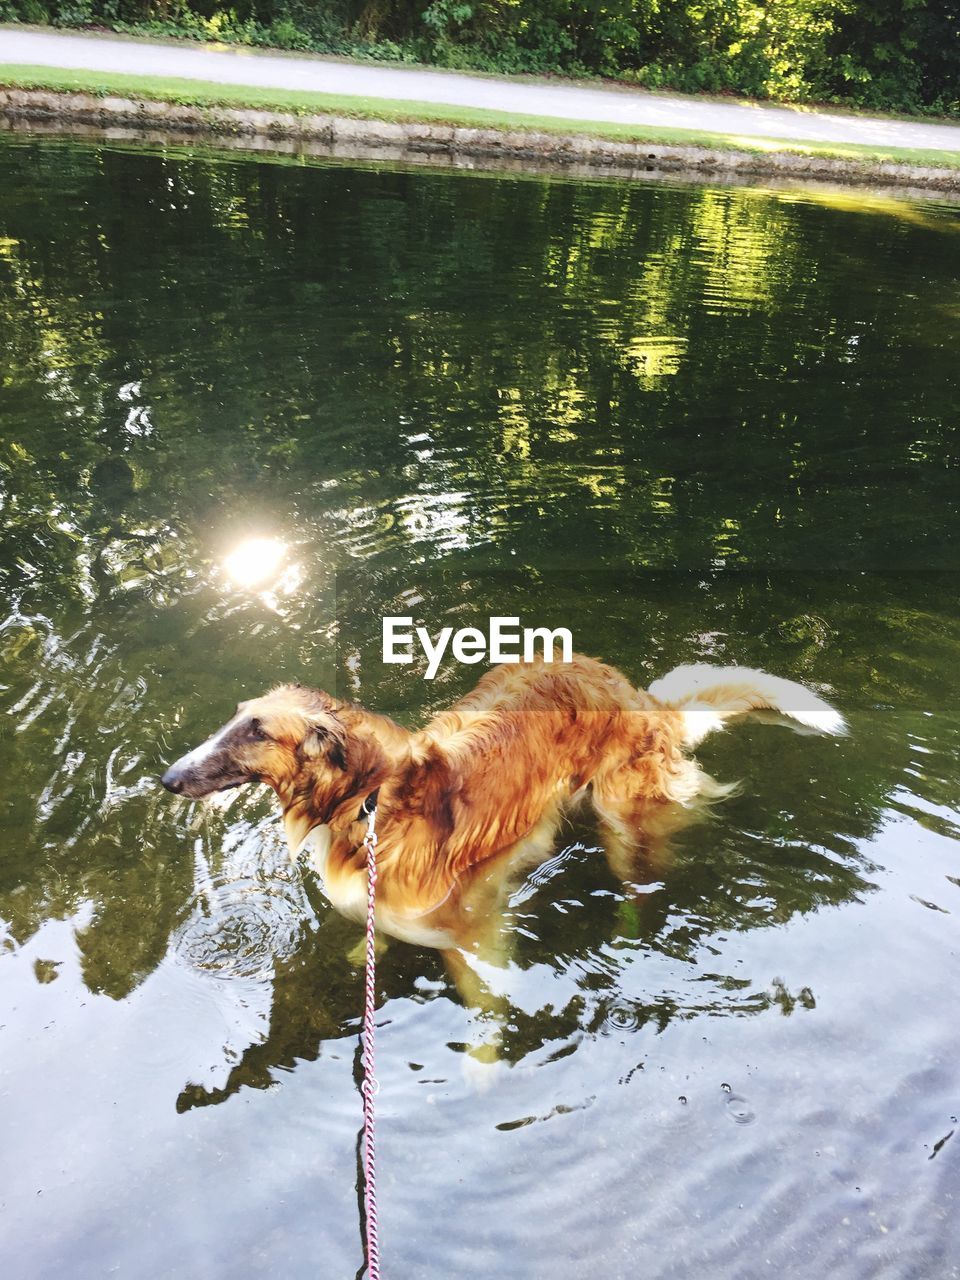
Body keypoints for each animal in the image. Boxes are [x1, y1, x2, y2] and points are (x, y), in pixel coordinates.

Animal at [161, 660, 844, 952]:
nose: (167, 779)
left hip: (623, 819)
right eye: (234, 719)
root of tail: (641, 698)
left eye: (256, 730)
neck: (370, 800)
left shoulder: (468, 923)